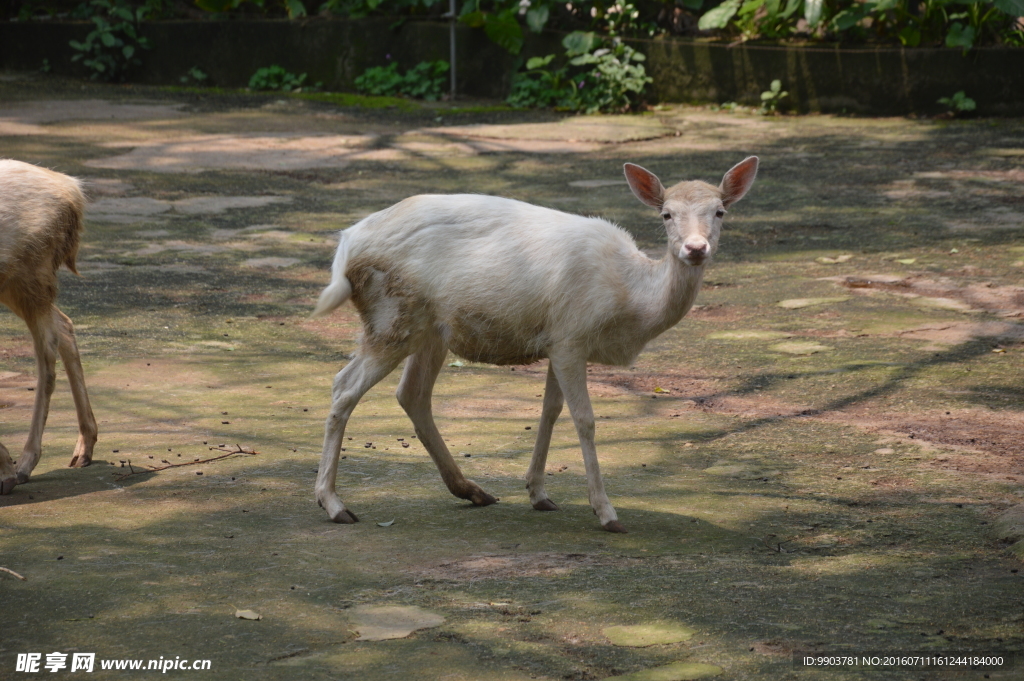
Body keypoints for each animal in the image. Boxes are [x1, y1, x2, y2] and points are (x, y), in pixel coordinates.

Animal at [0, 159, 96, 491]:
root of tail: (74, 190)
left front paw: (6, 470)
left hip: (32, 272)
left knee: (48, 351)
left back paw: (23, 465)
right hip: (19, 283)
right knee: (65, 326)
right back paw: (84, 447)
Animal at [307, 155, 757, 532]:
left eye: (720, 211)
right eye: (666, 214)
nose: (695, 248)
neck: (629, 300)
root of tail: (346, 245)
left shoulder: (556, 339)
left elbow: (550, 411)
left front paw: (539, 494)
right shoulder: (572, 335)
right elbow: (585, 419)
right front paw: (607, 513)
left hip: (429, 330)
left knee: (411, 393)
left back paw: (473, 491)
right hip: (392, 316)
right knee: (343, 387)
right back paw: (334, 504)